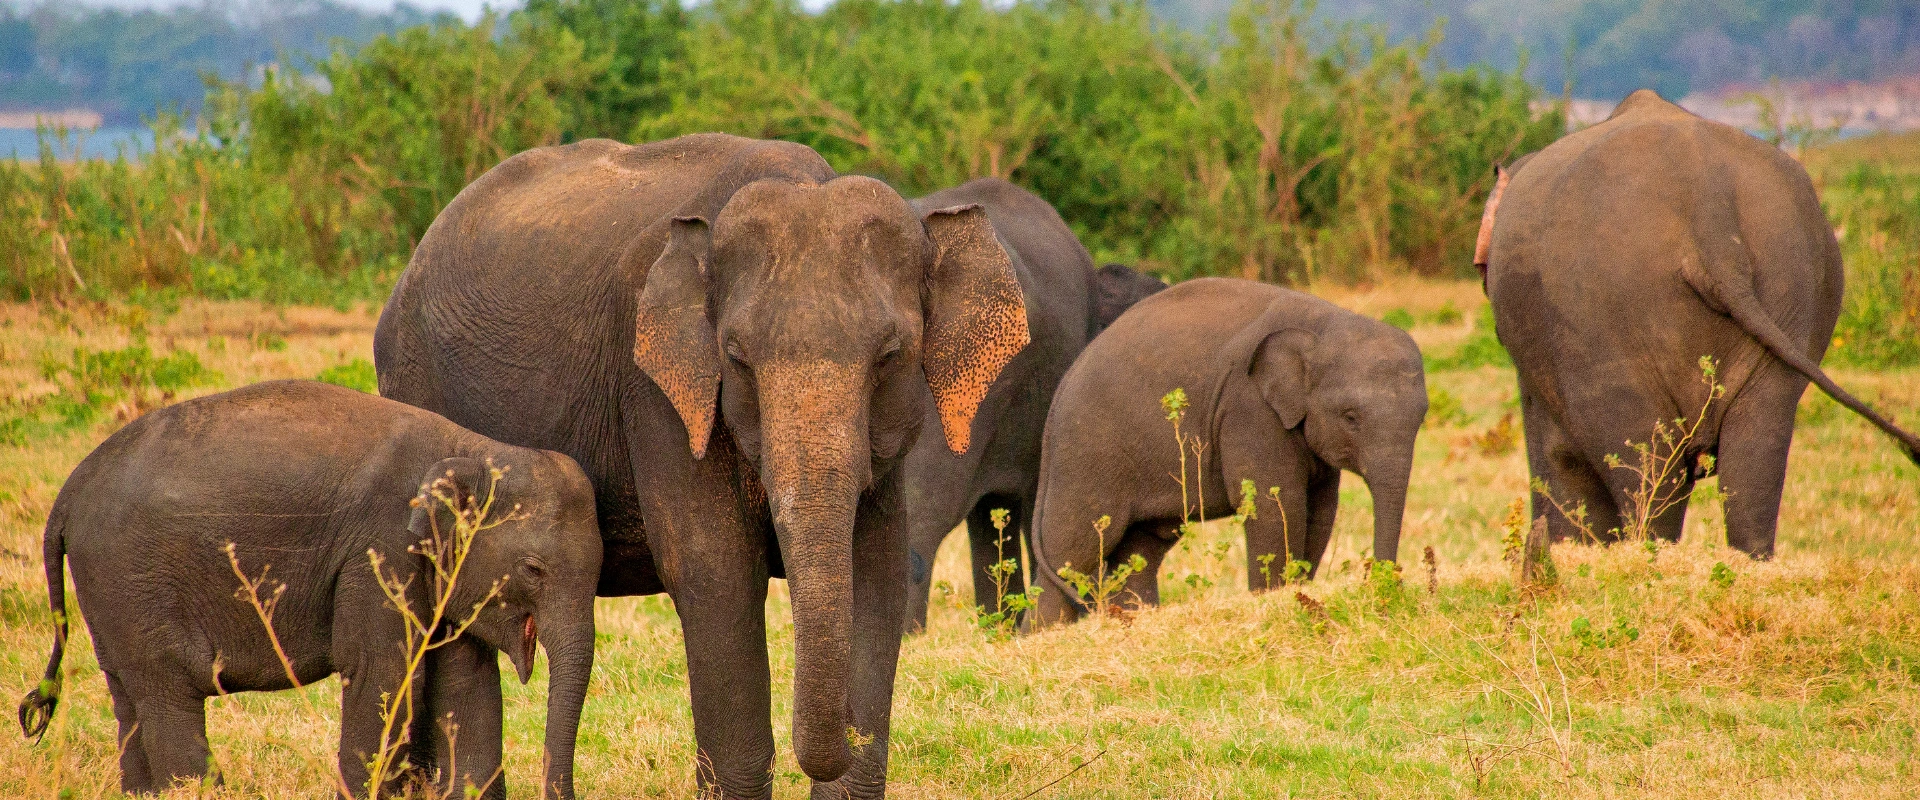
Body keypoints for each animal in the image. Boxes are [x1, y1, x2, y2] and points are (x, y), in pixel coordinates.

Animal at [15, 380, 602, 799]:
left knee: (128, 696)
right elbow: (383, 672)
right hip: (132, 580)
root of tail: (66, 496)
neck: (471, 449)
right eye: (534, 569)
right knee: (167, 688)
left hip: (108, 590)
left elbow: (465, 683)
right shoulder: (381, 550)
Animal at [373, 134, 1031, 799]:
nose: (842, 737)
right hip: (416, 385)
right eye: (736, 358)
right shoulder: (657, 392)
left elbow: (877, 568)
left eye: (891, 355)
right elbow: (715, 570)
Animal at [1027, 278, 1427, 627]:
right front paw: (1275, 599)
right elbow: (1275, 503)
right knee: (1075, 551)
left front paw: (1298, 592)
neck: (1325, 323)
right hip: (1086, 455)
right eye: (1351, 417)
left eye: (1422, 417)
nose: (1384, 589)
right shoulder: (1247, 407)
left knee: (1140, 550)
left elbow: (1321, 509)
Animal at [1477, 89, 1920, 558]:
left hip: (1599, 321)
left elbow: (1554, 452)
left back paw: (1649, 557)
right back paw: (1745, 560)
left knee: (1648, 467)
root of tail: (1711, 217)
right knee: (1755, 450)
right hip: (1796, 285)